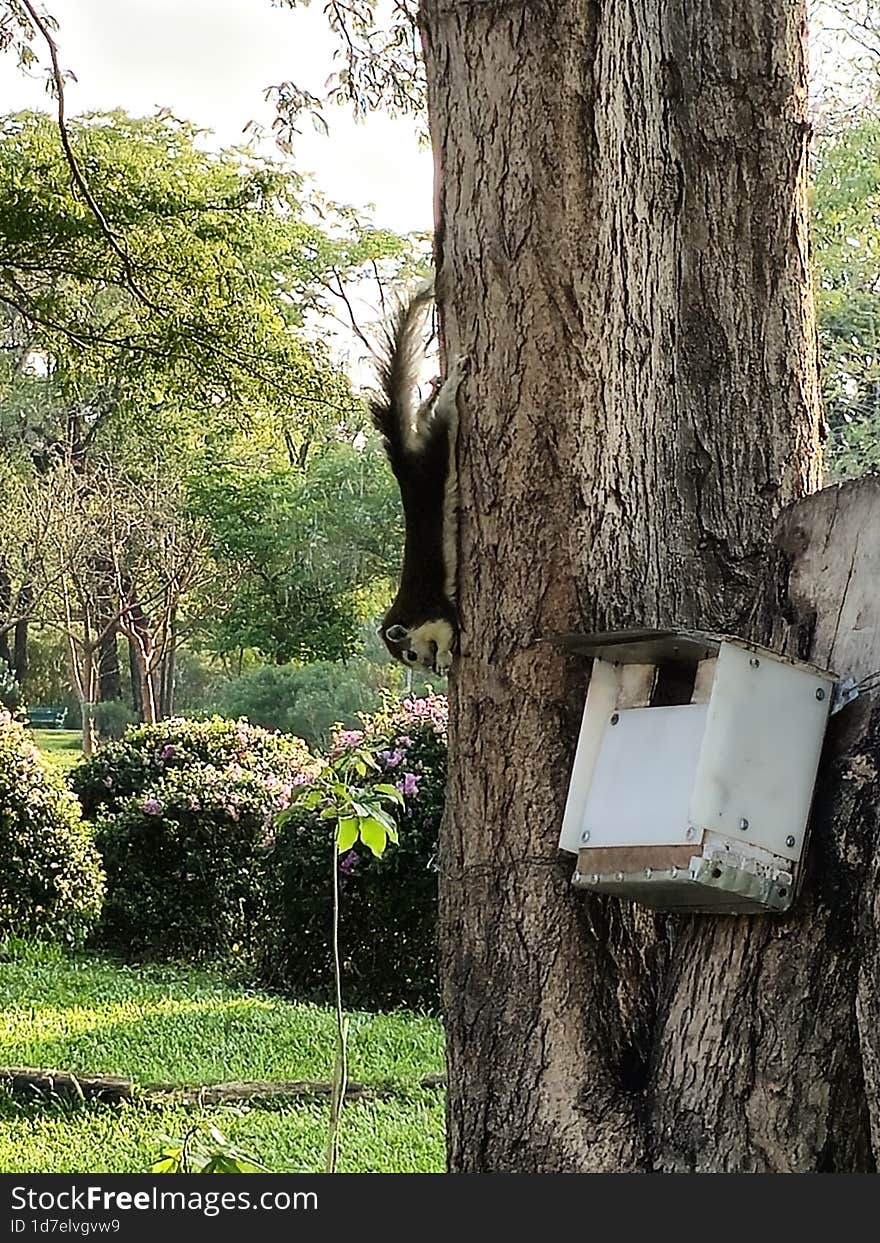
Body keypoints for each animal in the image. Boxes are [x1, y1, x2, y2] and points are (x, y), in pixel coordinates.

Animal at [370, 283, 469, 676]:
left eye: (409, 655)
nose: (424, 667)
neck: (409, 613)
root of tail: (406, 467)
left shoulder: (434, 611)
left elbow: (448, 629)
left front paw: (443, 658)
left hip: (436, 452)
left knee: (443, 415)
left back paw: (452, 380)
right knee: (426, 413)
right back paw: (433, 389)